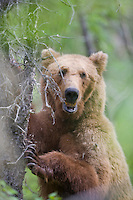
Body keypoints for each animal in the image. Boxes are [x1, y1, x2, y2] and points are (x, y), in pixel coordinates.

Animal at [25, 48, 133, 200]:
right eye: (62, 71)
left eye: (83, 74)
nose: (71, 92)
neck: (71, 120)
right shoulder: (52, 126)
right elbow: (32, 131)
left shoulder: (92, 136)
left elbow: (96, 180)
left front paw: (38, 161)